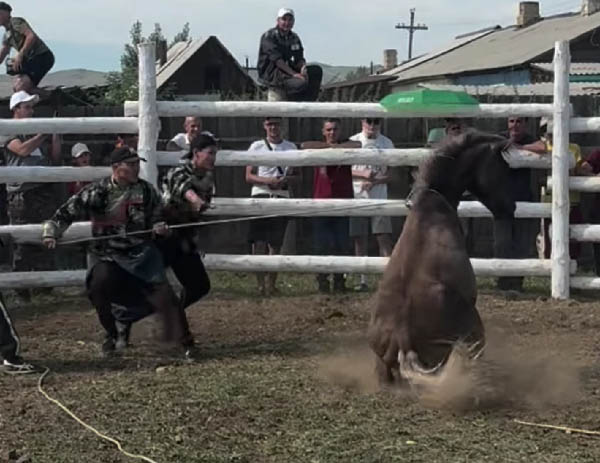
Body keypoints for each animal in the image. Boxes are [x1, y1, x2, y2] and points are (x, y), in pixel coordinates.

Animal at [370, 130, 516, 384]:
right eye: (502, 166)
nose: (511, 207)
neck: (431, 204)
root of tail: (403, 338)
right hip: (471, 332)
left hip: (384, 364)